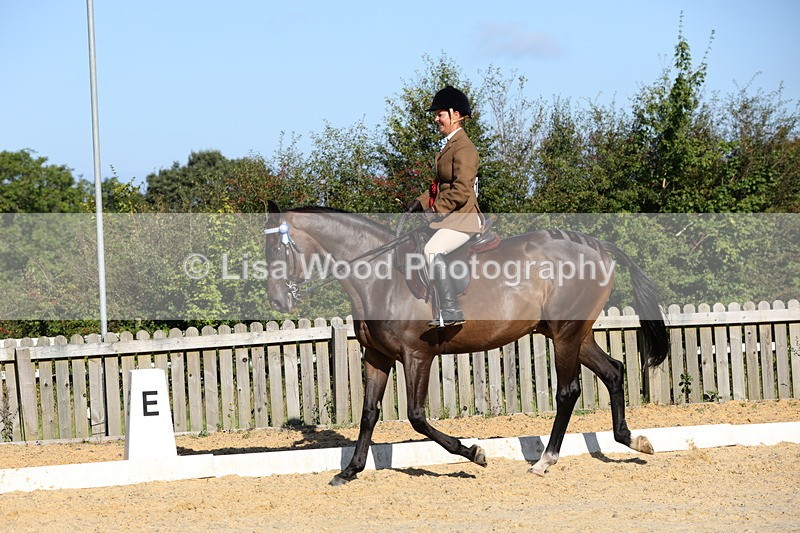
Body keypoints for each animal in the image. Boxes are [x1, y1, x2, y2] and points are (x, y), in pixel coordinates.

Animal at [263, 202, 669, 485]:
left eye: (277, 250)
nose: (278, 301)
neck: (381, 278)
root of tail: (597, 246)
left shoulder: (417, 355)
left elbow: (417, 417)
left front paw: (474, 453)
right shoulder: (376, 356)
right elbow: (368, 414)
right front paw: (349, 470)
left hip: (566, 335)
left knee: (568, 391)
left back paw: (544, 461)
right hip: (571, 334)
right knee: (613, 371)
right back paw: (633, 441)